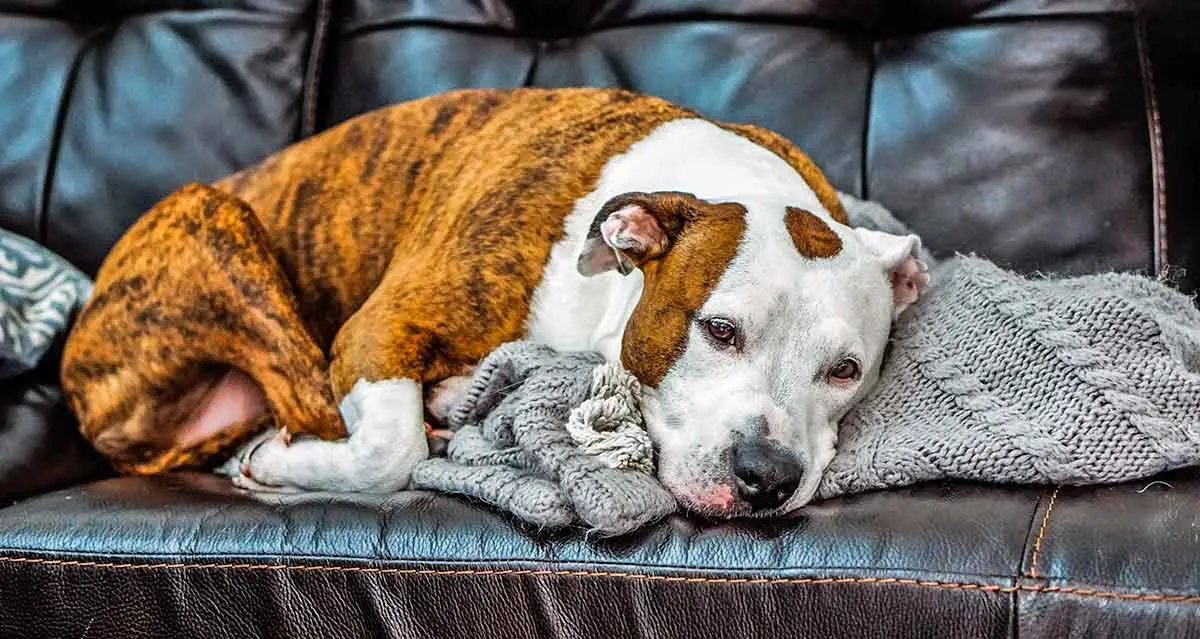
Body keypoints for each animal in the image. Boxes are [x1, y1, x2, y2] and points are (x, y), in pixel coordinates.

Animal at [60, 87, 926, 518]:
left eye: (846, 370)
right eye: (719, 329)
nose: (767, 476)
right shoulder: (379, 327)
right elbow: (387, 450)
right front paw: (290, 462)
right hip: (215, 216)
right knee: (319, 404)